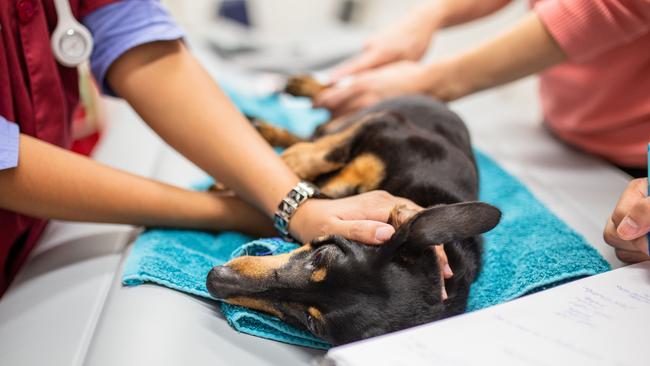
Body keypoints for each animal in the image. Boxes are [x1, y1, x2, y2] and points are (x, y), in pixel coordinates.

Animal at [205, 77, 498, 346]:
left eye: (312, 323)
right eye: (322, 256)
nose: (214, 280)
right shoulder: (388, 125)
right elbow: (329, 152)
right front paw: (289, 161)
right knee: (325, 123)